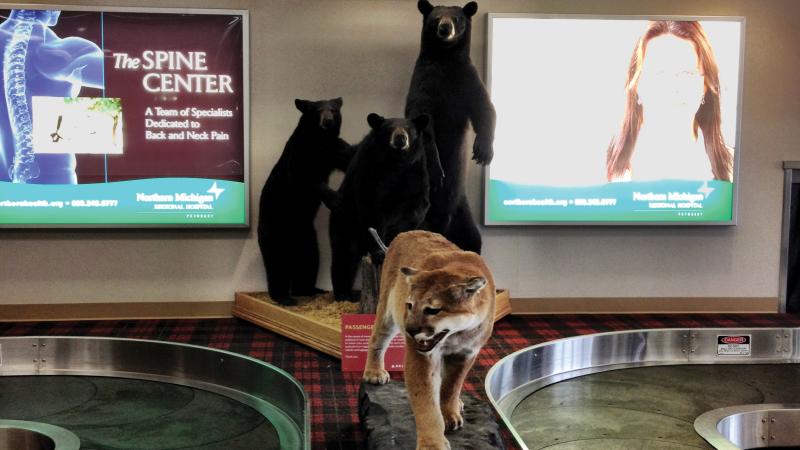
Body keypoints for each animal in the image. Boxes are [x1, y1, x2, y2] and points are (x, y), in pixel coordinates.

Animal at [260, 98, 354, 306]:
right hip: (275, 230)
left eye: (333, 110)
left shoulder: (334, 148)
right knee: (276, 264)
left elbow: (349, 156)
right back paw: (284, 297)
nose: (327, 121)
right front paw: (336, 199)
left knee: (309, 261)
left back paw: (309, 289)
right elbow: (304, 178)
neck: (320, 139)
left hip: (308, 238)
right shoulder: (300, 153)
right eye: (318, 110)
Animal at [330, 114, 434, 300]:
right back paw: (345, 294)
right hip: (345, 222)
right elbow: (371, 208)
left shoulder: (416, 172)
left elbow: (416, 207)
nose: (400, 138)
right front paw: (379, 252)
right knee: (345, 256)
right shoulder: (370, 171)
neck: (396, 164)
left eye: (409, 129)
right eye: (389, 128)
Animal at [406, 0, 494, 253]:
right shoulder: (426, 82)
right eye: (436, 17)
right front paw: (437, 169)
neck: (446, 60)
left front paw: (483, 151)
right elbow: (422, 120)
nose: (445, 28)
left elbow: (485, 108)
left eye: (457, 18)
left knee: (473, 238)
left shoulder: (468, 79)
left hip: (462, 208)